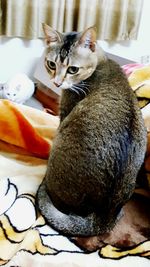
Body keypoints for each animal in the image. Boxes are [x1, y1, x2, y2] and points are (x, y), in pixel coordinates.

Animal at [36, 23, 146, 237]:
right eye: (52, 64)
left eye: (73, 69)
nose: (57, 83)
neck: (101, 62)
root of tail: (101, 218)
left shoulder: (65, 111)